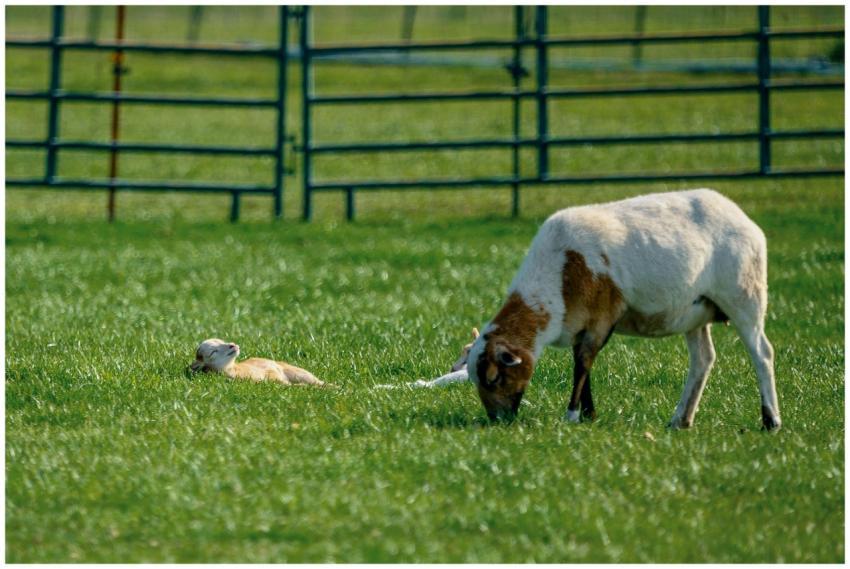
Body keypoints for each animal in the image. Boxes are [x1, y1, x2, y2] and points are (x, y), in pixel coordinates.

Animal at [466, 189, 781, 431]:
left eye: (494, 378)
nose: (497, 420)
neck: (555, 279)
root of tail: (740, 215)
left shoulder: (601, 318)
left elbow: (582, 364)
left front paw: (572, 416)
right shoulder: (581, 324)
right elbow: (583, 366)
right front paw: (588, 414)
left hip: (744, 294)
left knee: (762, 353)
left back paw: (770, 421)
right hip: (694, 312)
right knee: (703, 359)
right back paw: (680, 420)